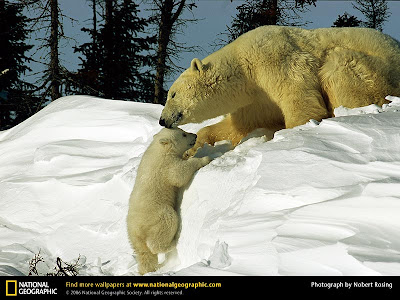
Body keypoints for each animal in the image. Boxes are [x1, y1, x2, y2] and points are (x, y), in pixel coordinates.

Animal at [159, 25, 400, 154]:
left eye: (172, 94)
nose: (162, 120)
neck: (243, 66)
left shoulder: (273, 59)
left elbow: (300, 97)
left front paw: (290, 133)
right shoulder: (256, 100)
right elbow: (241, 125)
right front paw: (194, 147)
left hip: (375, 72)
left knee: (338, 64)